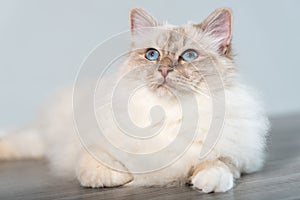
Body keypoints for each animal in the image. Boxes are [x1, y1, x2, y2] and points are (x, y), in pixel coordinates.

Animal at [0, 8, 270, 194]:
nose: (164, 69)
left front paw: (208, 182)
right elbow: (96, 171)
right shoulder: (91, 148)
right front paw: (124, 179)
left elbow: (219, 164)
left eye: (189, 56)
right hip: (47, 139)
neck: (167, 113)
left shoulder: (238, 157)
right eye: (152, 55)